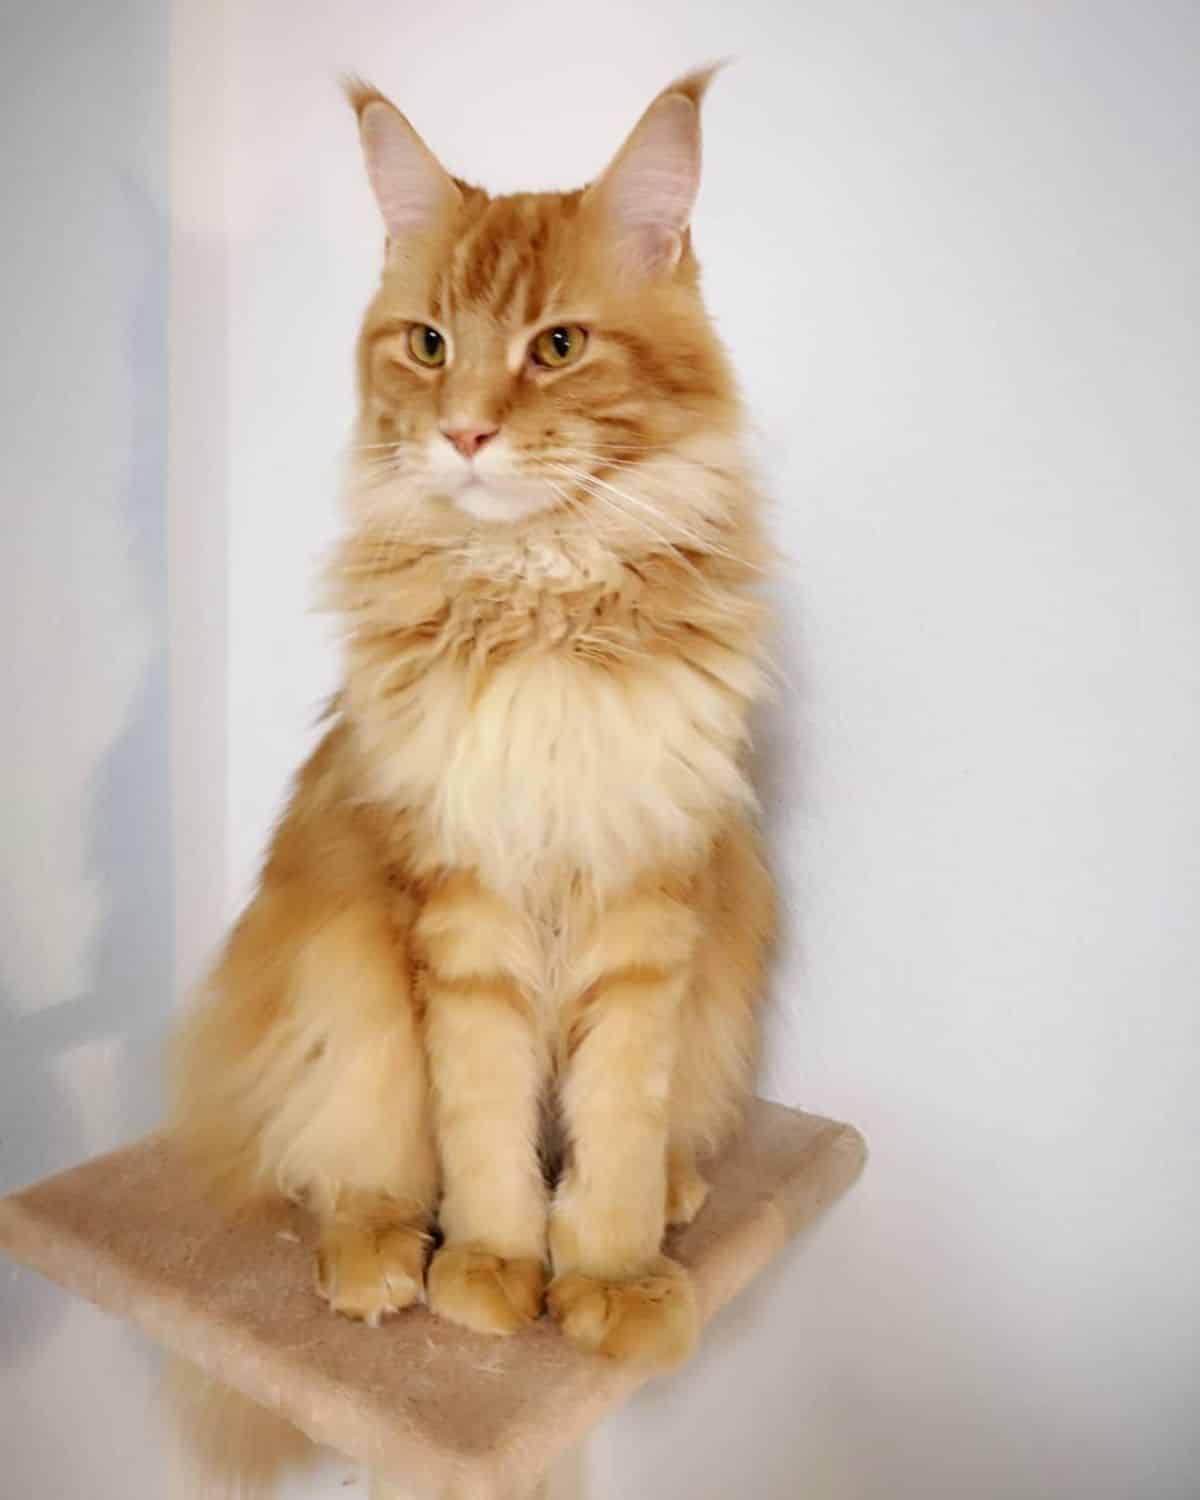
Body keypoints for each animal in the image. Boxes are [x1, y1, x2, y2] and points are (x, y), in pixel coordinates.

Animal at [168, 64, 774, 1374]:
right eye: (429, 344)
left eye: (559, 346)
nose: (465, 433)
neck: (536, 597)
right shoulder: (462, 898)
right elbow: (486, 1115)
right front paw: (496, 1269)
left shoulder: (646, 895)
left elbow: (618, 1114)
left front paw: (610, 1274)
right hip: (340, 970)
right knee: (342, 1162)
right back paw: (380, 1258)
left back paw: (673, 1196)